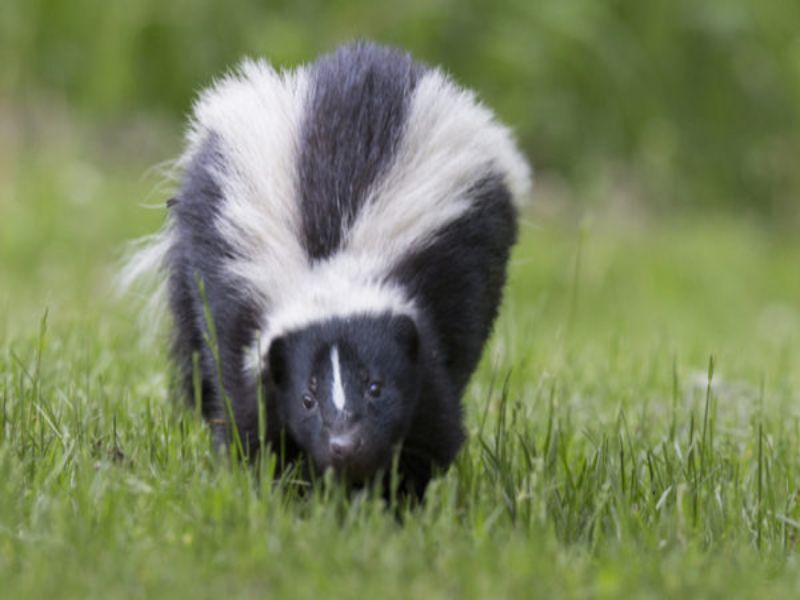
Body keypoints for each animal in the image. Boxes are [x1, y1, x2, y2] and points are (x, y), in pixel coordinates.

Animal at [128, 42, 532, 496]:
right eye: (307, 398)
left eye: (375, 387)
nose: (344, 445)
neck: (332, 263)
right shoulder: (237, 307)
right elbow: (249, 417)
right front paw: (282, 487)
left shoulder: (433, 308)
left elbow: (432, 423)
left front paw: (394, 495)